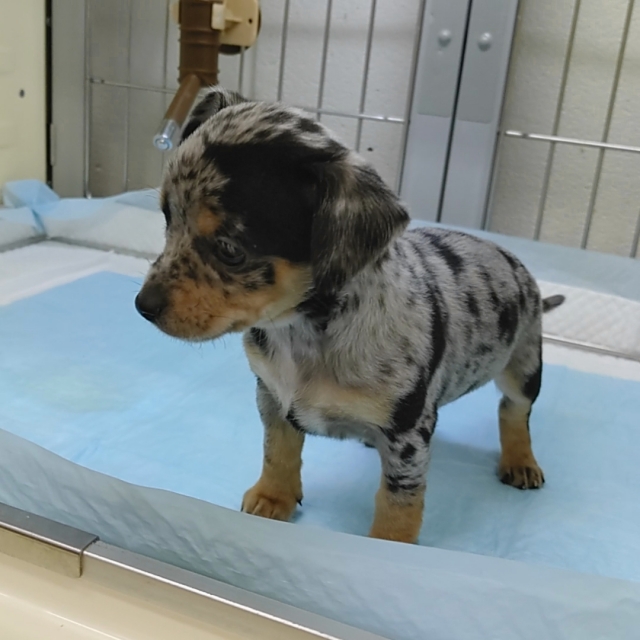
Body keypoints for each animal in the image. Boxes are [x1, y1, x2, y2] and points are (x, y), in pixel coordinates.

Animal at [135, 87, 564, 544]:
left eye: (230, 250)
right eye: (167, 220)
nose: (143, 306)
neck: (301, 331)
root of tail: (518, 268)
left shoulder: (407, 435)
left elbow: (398, 500)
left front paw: (389, 545)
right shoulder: (273, 397)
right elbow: (278, 452)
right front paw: (273, 497)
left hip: (524, 366)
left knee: (514, 411)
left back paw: (520, 460)